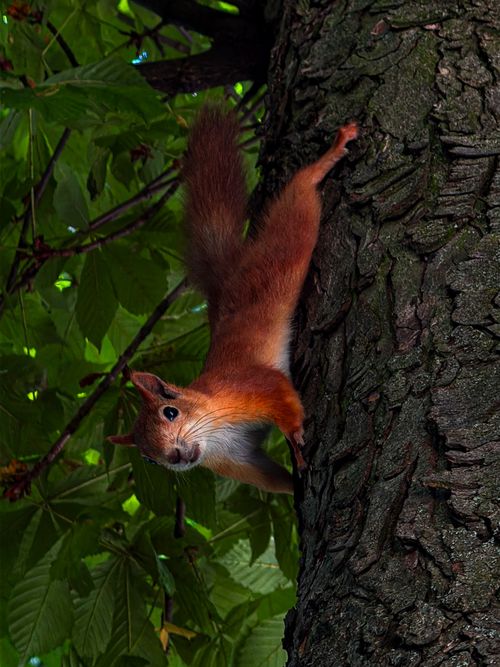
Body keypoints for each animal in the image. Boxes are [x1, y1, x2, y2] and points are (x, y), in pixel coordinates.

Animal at [109, 106, 357, 494]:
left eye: (170, 412)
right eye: (147, 458)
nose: (175, 457)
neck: (213, 426)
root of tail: (227, 278)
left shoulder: (249, 386)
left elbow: (281, 395)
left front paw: (295, 439)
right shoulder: (239, 461)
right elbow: (273, 479)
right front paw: (293, 488)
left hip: (285, 246)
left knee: (299, 196)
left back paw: (328, 156)